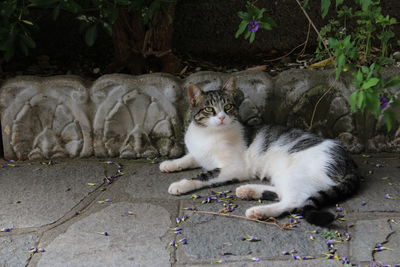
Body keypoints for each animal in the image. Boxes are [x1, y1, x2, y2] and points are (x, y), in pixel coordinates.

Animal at [160, 77, 362, 226]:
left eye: (228, 107)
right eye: (209, 109)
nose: (222, 117)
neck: (207, 134)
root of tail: (348, 160)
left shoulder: (233, 167)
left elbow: (204, 176)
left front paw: (180, 184)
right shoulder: (199, 154)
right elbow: (188, 158)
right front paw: (169, 164)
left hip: (297, 172)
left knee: (295, 201)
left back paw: (258, 211)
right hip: (284, 173)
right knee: (283, 192)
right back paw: (248, 191)